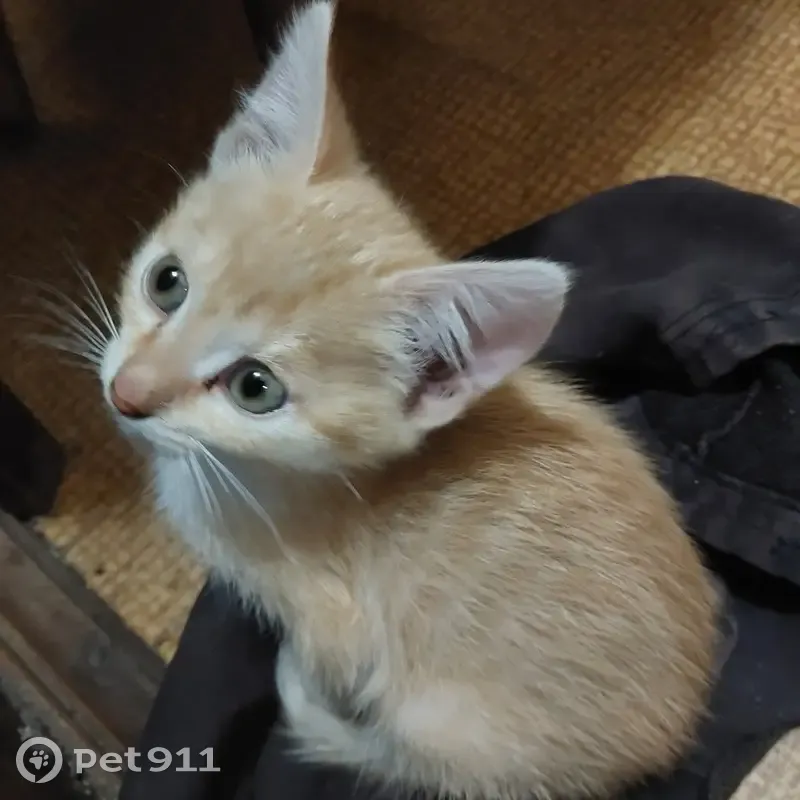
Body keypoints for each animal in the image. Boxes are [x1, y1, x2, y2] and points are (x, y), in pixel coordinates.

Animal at [100, 3, 719, 798]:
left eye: (254, 389)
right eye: (166, 282)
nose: (127, 394)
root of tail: (672, 732)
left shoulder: (330, 621)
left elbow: (331, 667)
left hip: (449, 727)